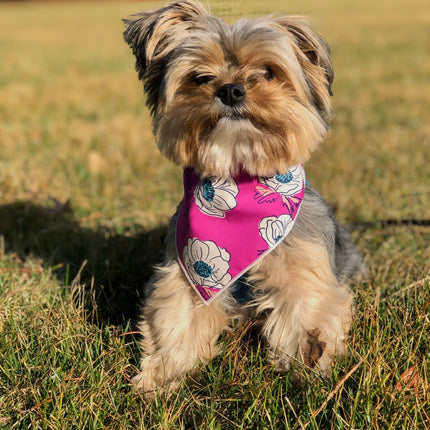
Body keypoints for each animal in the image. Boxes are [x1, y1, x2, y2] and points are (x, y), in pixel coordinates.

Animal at [122, 0, 364, 396]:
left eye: (267, 72)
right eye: (200, 77)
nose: (231, 90)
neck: (238, 183)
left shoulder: (302, 267)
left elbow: (305, 319)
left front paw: (306, 375)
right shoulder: (187, 272)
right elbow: (176, 321)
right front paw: (161, 377)